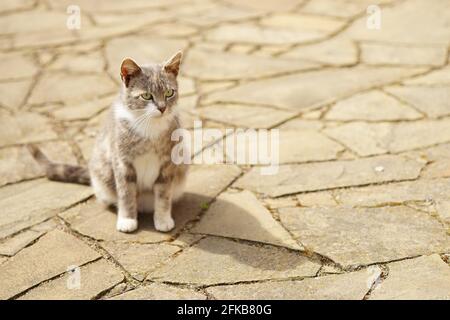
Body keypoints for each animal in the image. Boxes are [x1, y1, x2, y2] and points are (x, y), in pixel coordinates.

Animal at [28, 52, 187, 232]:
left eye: (169, 92)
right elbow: (126, 193)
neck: (149, 128)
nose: (162, 108)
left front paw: (162, 219)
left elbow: (163, 194)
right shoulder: (122, 162)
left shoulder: (168, 164)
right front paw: (127, 220)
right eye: (146, 95)